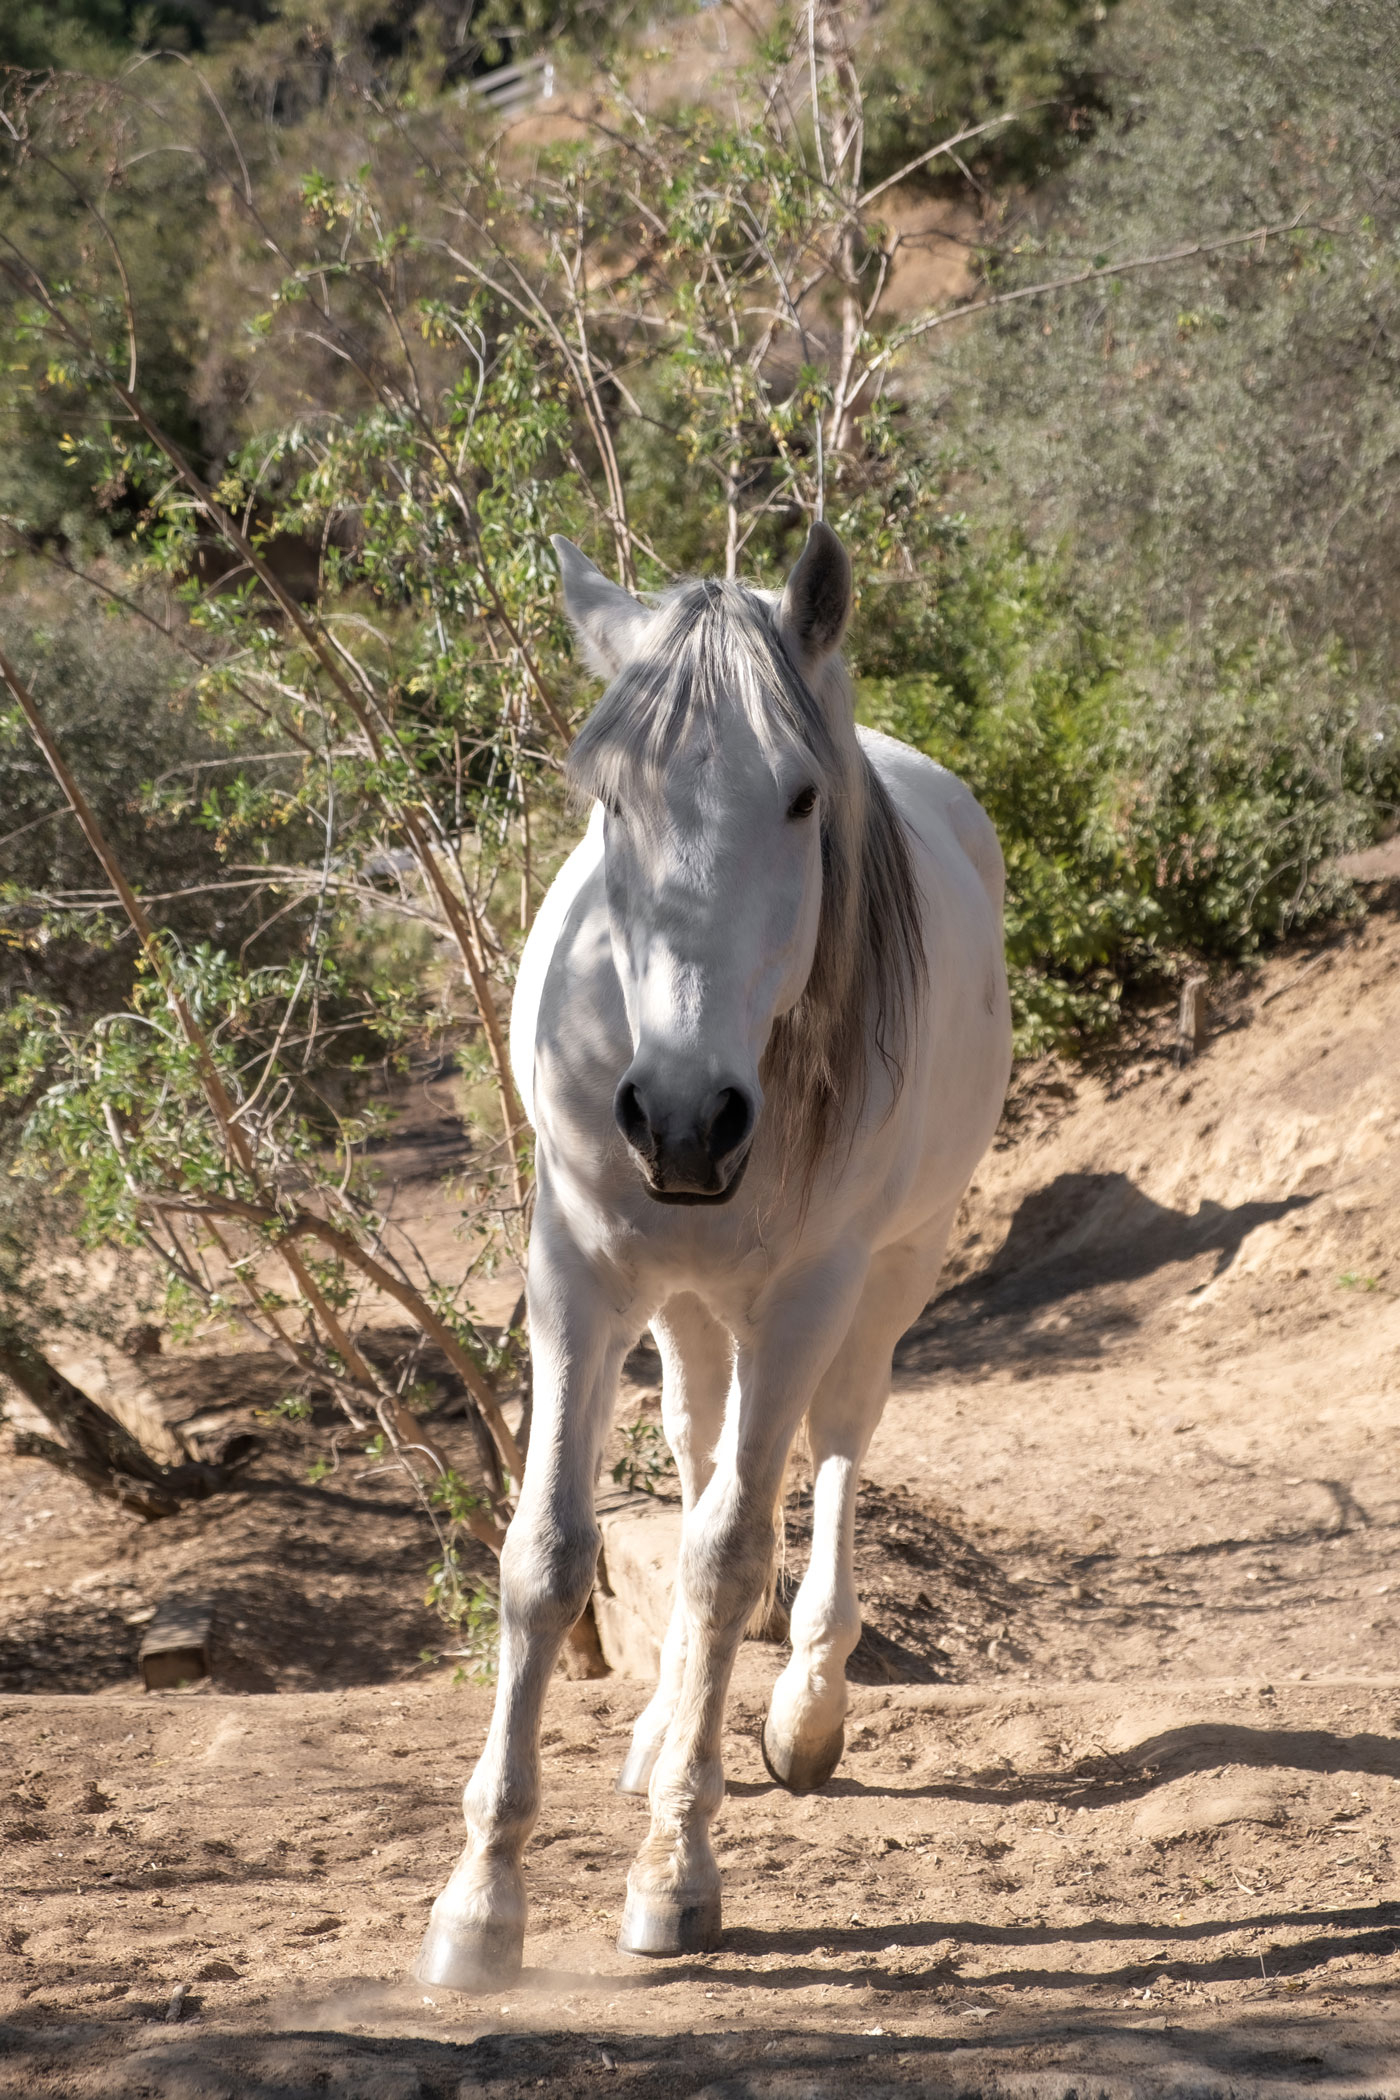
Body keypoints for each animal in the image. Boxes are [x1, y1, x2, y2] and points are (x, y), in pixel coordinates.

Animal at [415, 522, 1012, 1987]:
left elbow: (733, 1552)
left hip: (885, 1276)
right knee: (694, 1447)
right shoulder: (574, 1274)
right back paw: (661, 1732)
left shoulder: (805, 1295)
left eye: (800, 799)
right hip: (684, 1303)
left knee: (834, 1449)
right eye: (610, 802)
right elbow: (548, 1556)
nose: (682, 1119)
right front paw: (481, 1896)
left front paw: (675, 1872)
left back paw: (799, 1712)